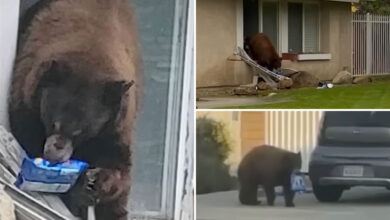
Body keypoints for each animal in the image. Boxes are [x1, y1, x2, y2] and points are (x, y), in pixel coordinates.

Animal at [8, 0, 142, 219]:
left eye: (81, 131)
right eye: (53, 122)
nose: (54, 156)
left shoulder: (117, 122)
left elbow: (119, 165)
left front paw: (96, 180)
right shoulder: (26, 95)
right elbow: (27, 136)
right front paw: (77, 189)